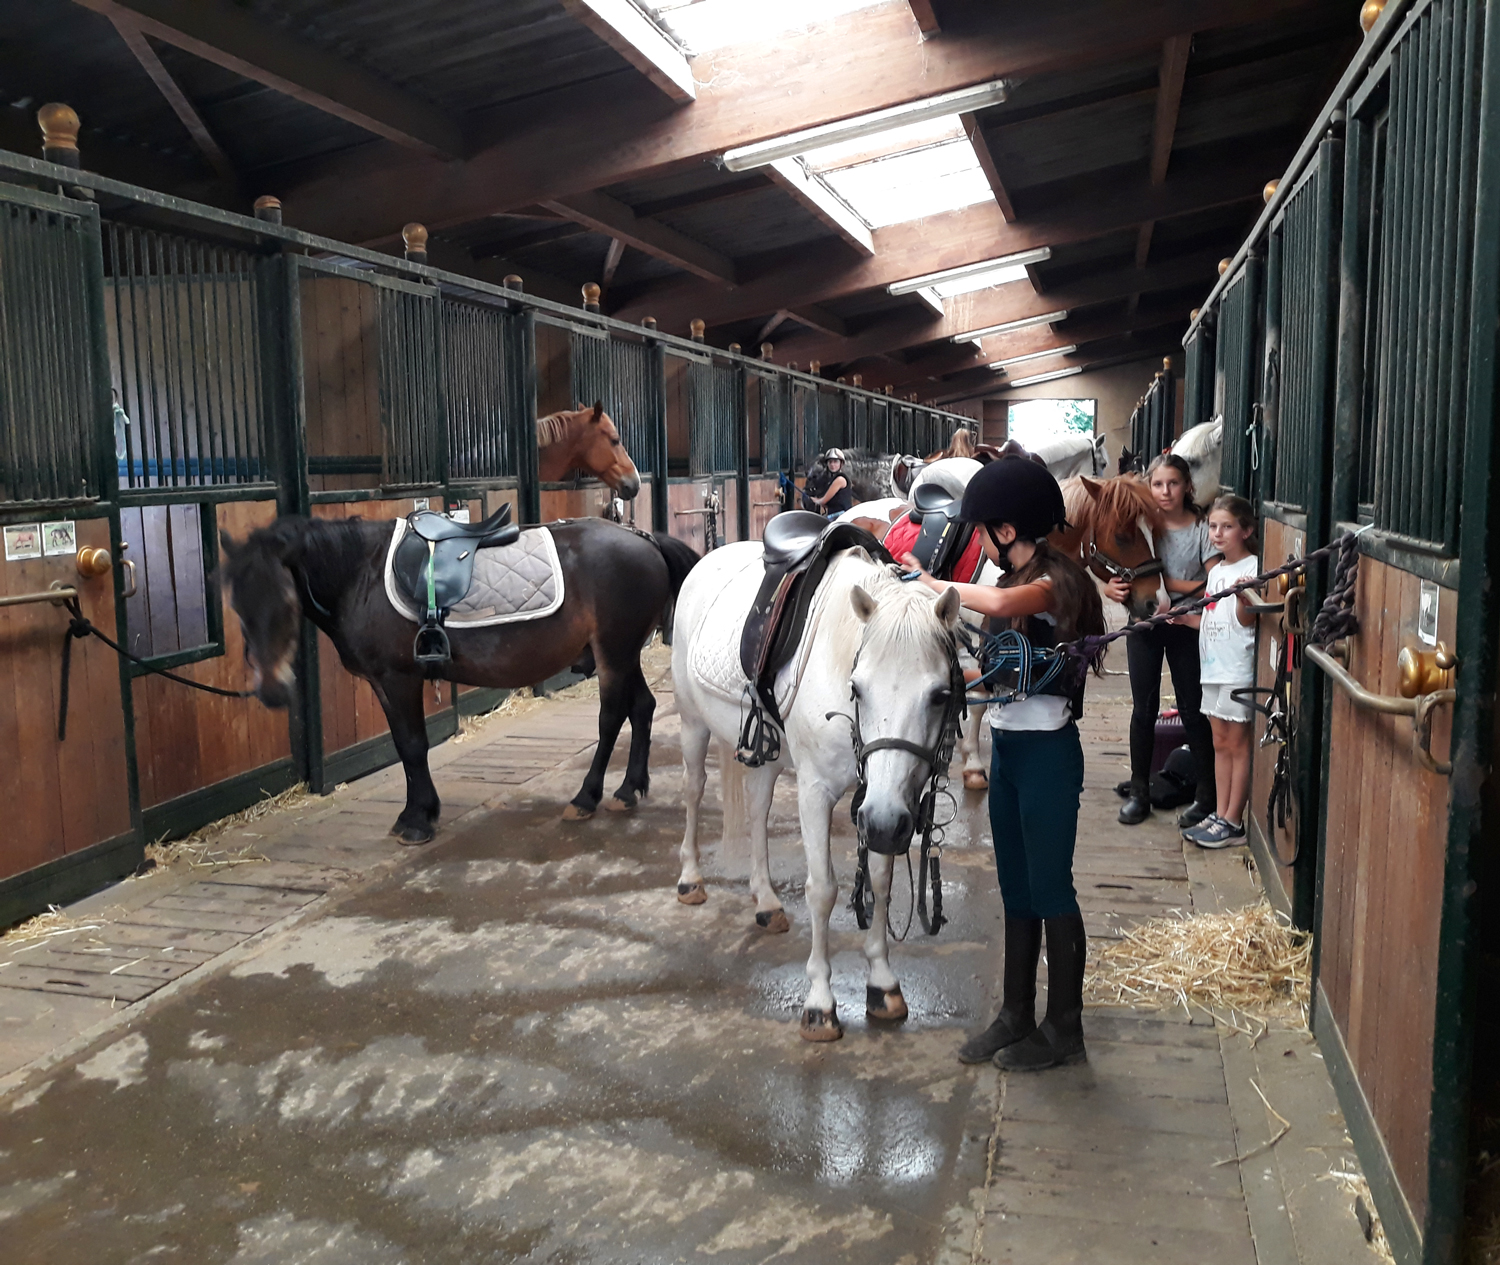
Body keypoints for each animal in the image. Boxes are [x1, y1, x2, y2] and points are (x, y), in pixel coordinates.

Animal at [672, 543, 954, 1038]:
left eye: (940, 695)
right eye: (857, 688)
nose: (886, 823)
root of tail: (708, 557)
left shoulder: (880, 807)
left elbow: (880, 881)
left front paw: (882, 984)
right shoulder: (817, 793)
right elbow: (822, 890)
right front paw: (820, 1002)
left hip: (767, 759)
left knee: (758, 810)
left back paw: (766, 902)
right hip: (692, 725)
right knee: (693, 790)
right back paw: (691, 878)